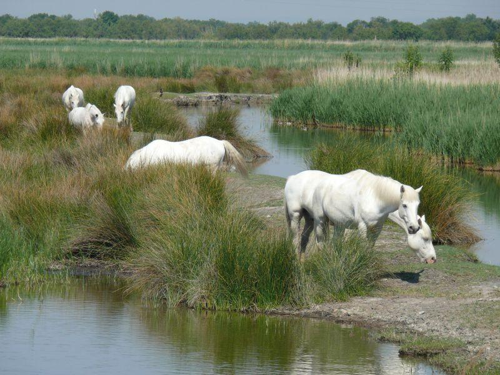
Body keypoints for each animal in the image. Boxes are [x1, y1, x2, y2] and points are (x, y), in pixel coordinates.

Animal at [286, 170, 430, 262]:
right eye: (404, 205)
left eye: (417, 204)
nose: (413, 227)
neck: (375, 198)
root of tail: (292, 177)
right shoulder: (362, 226)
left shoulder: (376, 229)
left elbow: (369, 247)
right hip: (310, 218)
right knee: (305, 240)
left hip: (319, 221)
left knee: (306, 239)